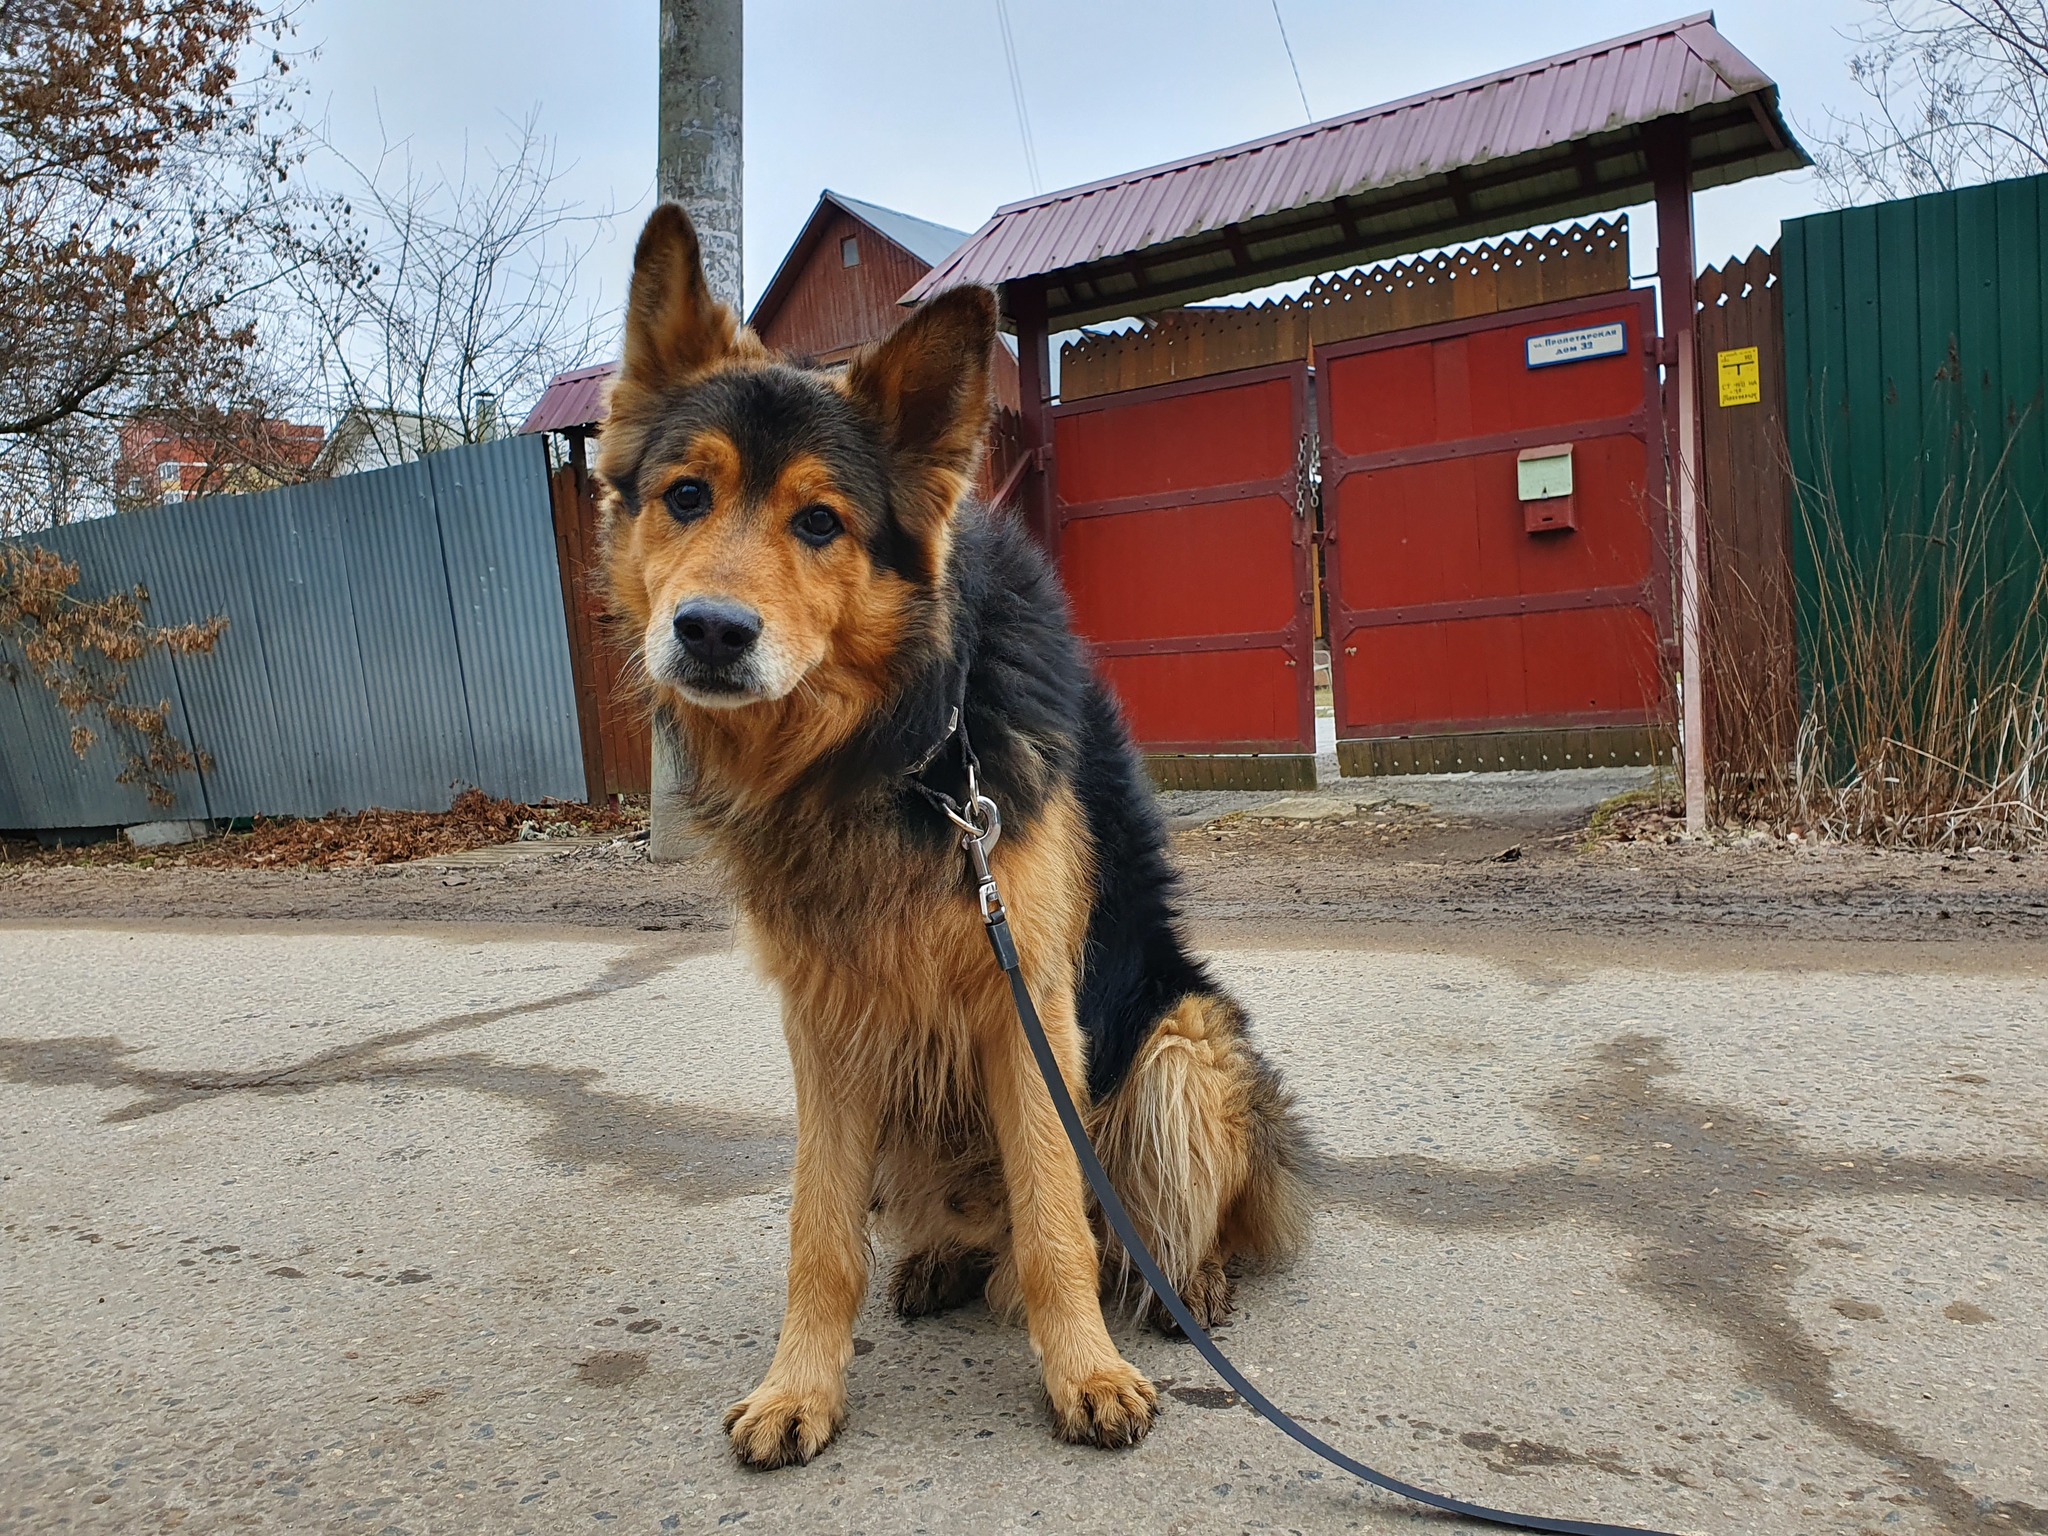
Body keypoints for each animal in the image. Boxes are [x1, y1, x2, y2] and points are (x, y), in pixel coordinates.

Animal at [598, 201, 1302, 1466]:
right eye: (684, 496)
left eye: (819, 522)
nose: (710, 633)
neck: (903, 746)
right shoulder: (827, 1026)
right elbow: (818, 1233)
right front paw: (799, 1385)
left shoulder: (1028, 1006)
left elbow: (1055, 1224)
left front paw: (1082, 1372)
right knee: (982, 1231)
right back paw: (944, 1259)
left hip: (1177, 1045)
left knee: (1148, 1222)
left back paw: (1188, 1281)